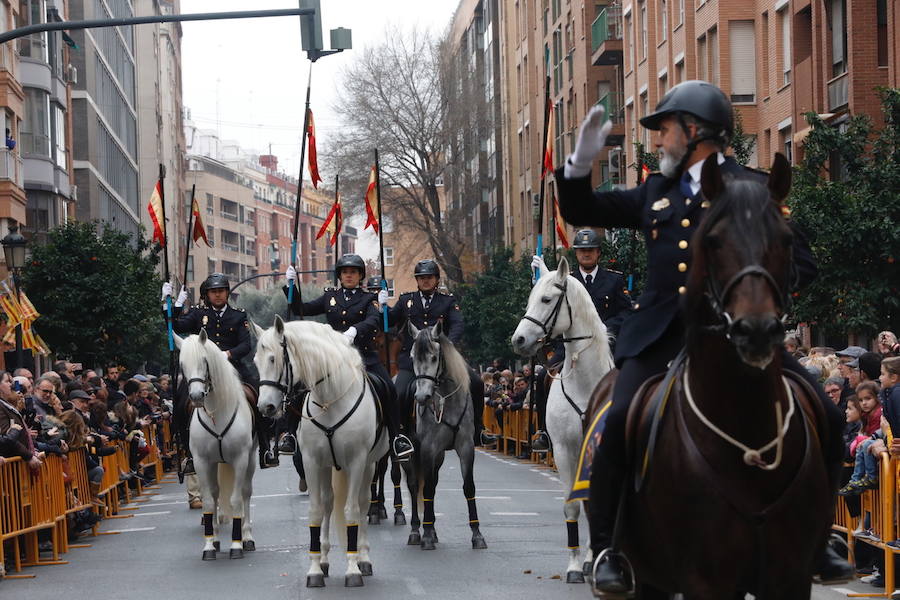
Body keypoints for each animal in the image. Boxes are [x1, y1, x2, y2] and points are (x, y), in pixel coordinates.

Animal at [173, 330, 255, 560]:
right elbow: (209, 501)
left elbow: (236, 500)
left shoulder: (240, 459)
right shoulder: (202, 461)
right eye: (182, 364)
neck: (217, 414)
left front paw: (236, 545)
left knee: (246, 492)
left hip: (251, 459)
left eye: (204, 360)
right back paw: (217, 539)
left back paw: (247, 537)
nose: (196, 396)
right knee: (217, 494)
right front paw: (209, 545)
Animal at [251, 316, 388, 588]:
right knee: (327, 504)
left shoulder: (356, 462)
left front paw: (353, 570)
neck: (330, 400)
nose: (265, 407)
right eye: (256, 362)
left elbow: (351, 510)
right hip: (328, 467)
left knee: (363, 503)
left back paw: (363, 558)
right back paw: (324, 561)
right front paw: (314, 569)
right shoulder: (313, 462)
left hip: (370, 465)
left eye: (274, 359)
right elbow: (315, 511)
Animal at [510, 256, 616, 584]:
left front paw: (594, 561)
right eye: (529, 299)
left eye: (546, 299)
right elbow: (573, 505)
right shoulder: (565, 450)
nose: (519, 339)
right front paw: (574, 567)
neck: (586, 385)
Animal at [592, 154, 828, 596]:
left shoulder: (791, 577)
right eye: (714, 240)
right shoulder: (706, 580)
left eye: (787, 240)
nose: (756, 330)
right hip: (648, 573)